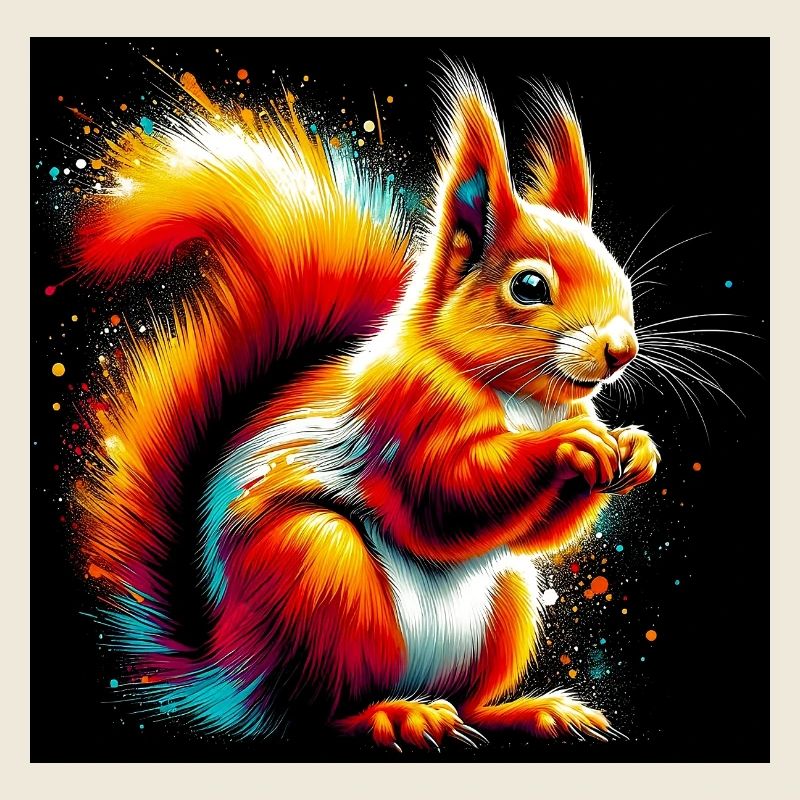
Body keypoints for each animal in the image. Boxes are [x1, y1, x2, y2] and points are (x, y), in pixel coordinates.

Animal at [71, 62, 660, 750]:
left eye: (615, 271)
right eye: (530, 286)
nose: (620, 348)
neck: (525, 402)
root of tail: (230, 675)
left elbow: (539, 531)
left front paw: (636, 448)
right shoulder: (406, 410)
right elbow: (445, 494)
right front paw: (570, 448)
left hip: (505, 607)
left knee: (468, 700)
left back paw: (527, 710)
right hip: (320, 576)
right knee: (316, 711)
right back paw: (394, 715)